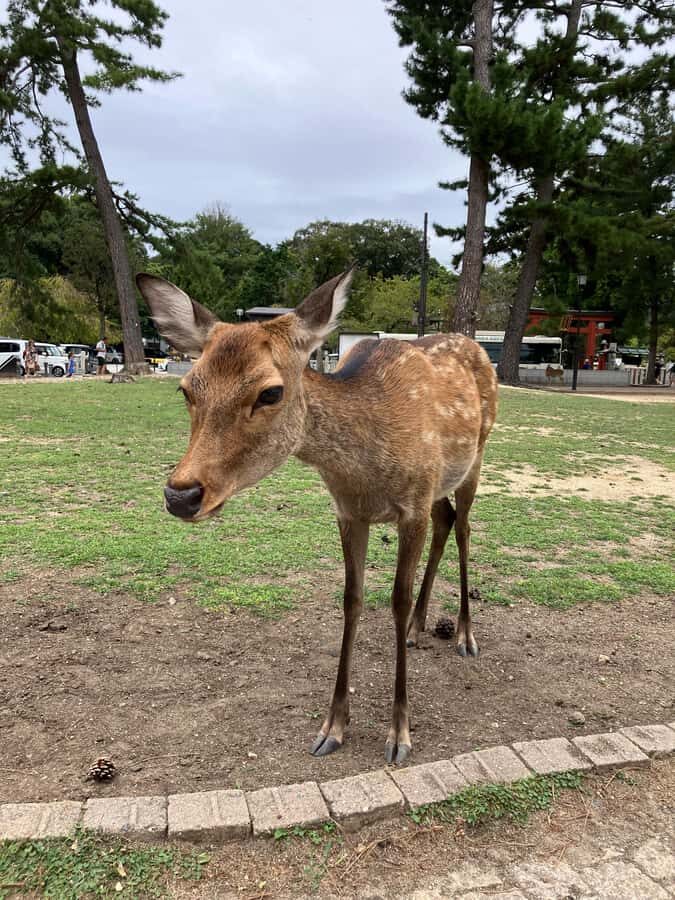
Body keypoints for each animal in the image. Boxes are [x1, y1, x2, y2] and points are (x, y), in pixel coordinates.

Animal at [136, 269, 498, 765]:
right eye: (186, 388)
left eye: (270, 392)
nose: (181, 495)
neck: (364, 468)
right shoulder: (349, 511)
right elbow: (351, 599)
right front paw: (333, 727)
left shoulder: (412, 505)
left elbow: (395, 600)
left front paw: (399, 734)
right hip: (441, 486)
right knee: (445, 523)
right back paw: (418, 628)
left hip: (476, 456)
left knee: (463, 527)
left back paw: (464, 636)